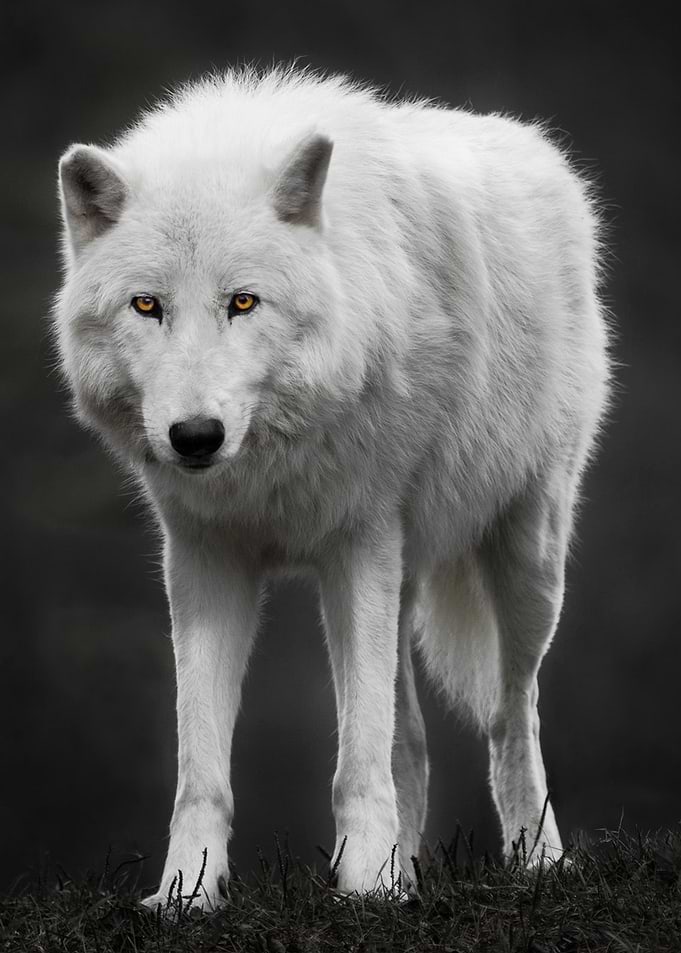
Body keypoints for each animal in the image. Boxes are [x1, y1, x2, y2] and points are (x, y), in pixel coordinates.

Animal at [54, 67, 610, 908]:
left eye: (242, 301)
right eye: (146, 305)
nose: (195, 435)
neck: (265, 466)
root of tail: (543, 150)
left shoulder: (358, 545)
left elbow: (357, 764)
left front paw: (362, 892)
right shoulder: (203, 560)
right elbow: (202, 769)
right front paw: (187, 895)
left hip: (525, 560)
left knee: (512, 714)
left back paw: (534, 862)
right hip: (405, 579)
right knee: (411, 743)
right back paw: (404, 870)